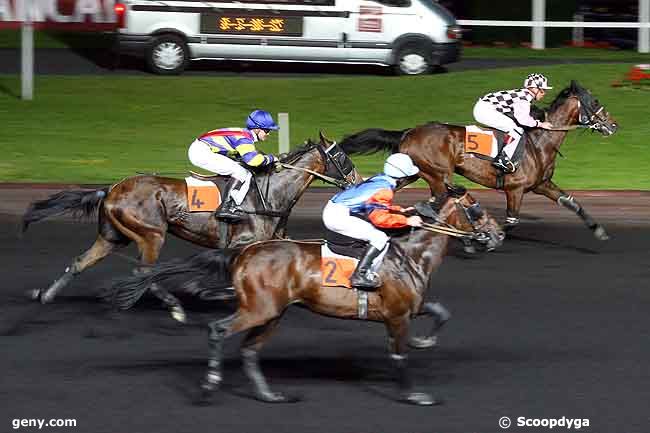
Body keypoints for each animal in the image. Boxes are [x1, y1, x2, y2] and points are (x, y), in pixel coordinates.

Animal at [20, 132, 360, 320]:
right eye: (343, 157)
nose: (358, 180)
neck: (270, 193)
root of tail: (111, 189)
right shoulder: (240, 245)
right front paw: (204, 292)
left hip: (113, 237)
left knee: (80, 262)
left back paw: (46, 295)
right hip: (151, 235)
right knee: (145, 272)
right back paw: (176, 308)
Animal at [110, 186, 502, 404]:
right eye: (476, 208)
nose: (498, 236)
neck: (410, 254)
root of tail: (244, 252)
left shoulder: (409, 307)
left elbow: (440, 311)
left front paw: (425, 342)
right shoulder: (395, 316)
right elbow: (399, 356)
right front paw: (415, 395)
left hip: (273, 313)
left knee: (250, 350)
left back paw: (269, 395)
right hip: (259, 309)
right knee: (218, 330)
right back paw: (210, 384)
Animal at [340, 80, 616, 240]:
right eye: (594, 102)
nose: (613, 125)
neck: (540, 142)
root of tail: (408, 131)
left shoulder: (541, 185)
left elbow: (571, 202)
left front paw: (599, 230)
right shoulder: (515, 189)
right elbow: (512, 221)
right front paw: (490, 235)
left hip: (413, 172)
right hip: (437, 174)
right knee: (435, 199)